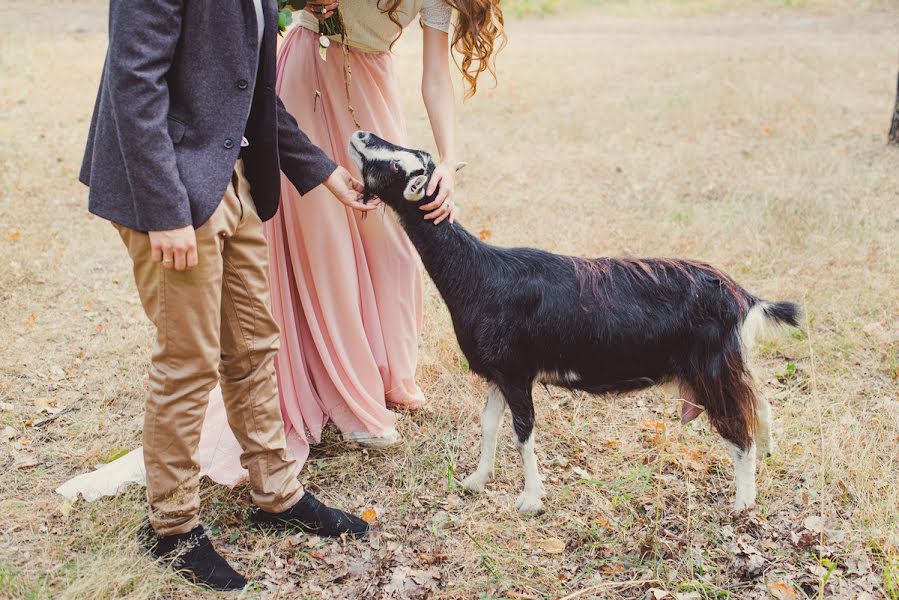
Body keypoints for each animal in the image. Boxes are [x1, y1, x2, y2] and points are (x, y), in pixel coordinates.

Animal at [350, 131, 800, 516]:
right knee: (760, 402)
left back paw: (743, 503)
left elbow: (523, 431)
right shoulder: (498, 372)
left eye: (397, 166)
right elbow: (490, 424)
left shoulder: (516, 371)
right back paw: (770, 453)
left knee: (739, 432)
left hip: (710, 369)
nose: (361, 134)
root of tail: (744, 297)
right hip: (731, 363)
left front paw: (530, 499)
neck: (479, 274)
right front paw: (476, 481)